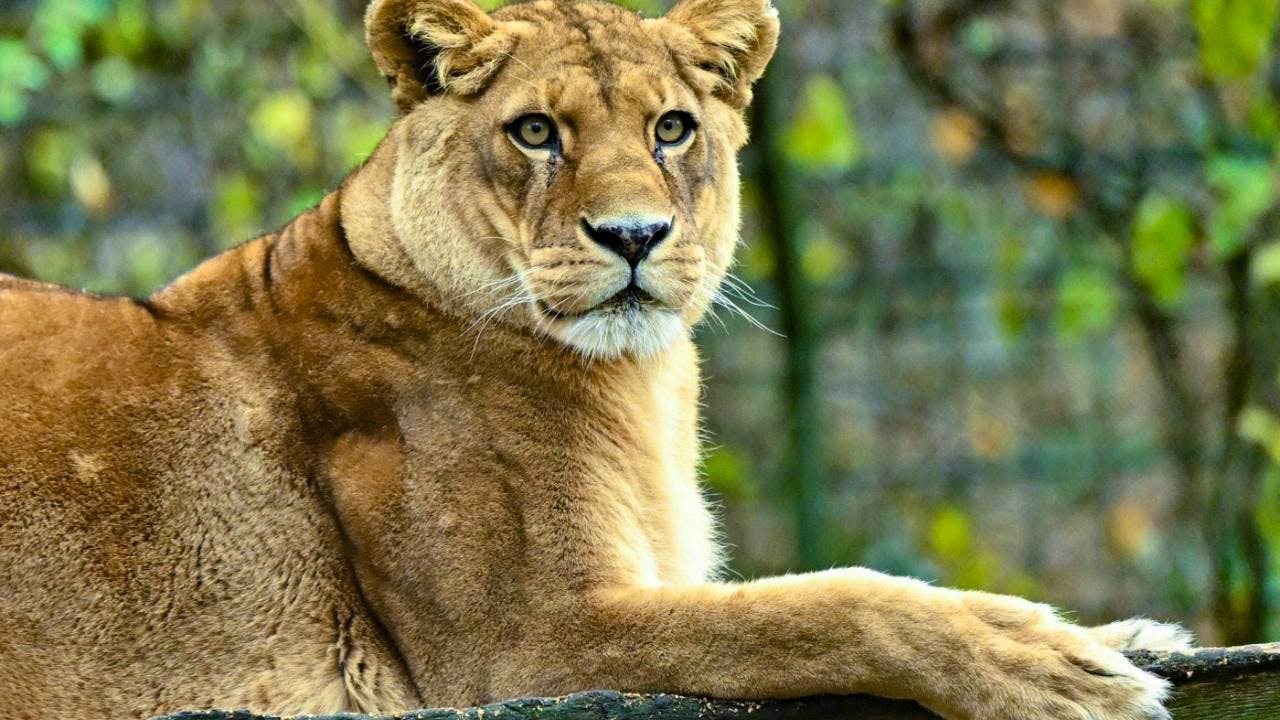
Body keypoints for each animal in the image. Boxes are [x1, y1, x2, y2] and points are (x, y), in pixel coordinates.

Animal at [0, 1, 1191, 718]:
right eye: (535, 132)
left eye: (672, 129)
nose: (632, 236)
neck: (638, 383)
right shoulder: (522, 644)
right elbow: (821, 606)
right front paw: (1041, 662)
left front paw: (1122, 635)